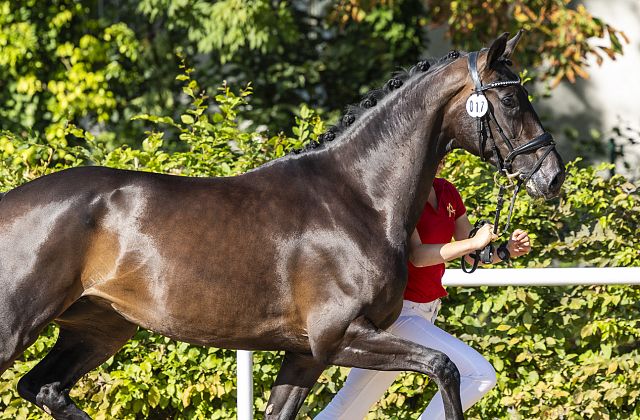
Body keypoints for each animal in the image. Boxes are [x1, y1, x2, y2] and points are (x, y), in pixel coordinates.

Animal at [0, 31, 564, 418]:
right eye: (510, 99)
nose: (552, 175)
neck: (357, 198)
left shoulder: (305, 356)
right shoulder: (340, 338)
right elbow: (445, 369)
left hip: (100, 326)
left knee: (43, 387)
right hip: (17, 327)